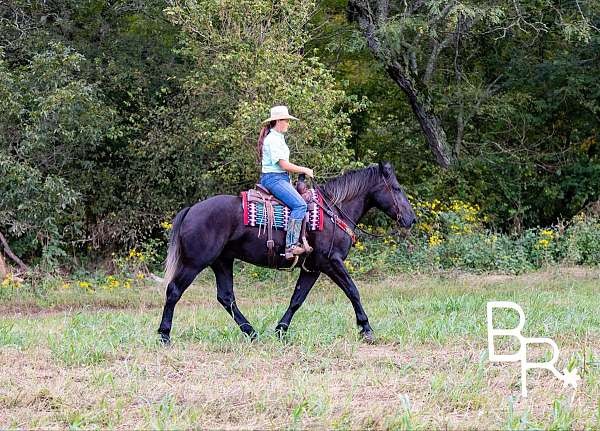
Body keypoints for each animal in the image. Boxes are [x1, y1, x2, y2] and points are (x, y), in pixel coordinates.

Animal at [157, 161, 414, 344]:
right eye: (397, 188)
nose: (411, 219)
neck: (334, 211)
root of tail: (191, 209)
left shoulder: (313, 268)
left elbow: (297, 299)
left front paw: (281, 330)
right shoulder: (331, 262)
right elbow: (353, 291)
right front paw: (366, 329)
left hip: (222, 261)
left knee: (226, 297)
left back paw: (251, 333)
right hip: (195, 263)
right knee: (174, 290)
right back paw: (164, 335)